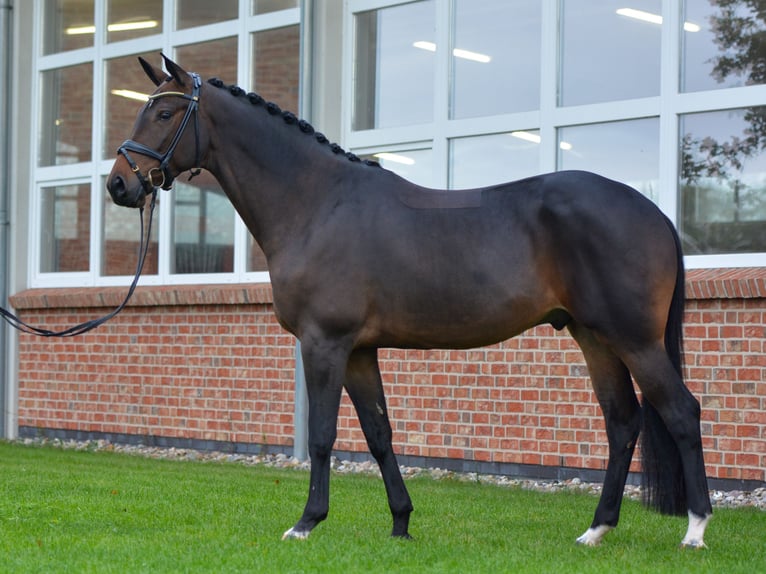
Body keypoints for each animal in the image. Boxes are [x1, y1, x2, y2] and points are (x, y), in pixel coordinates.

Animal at [106, 56, 712, 552]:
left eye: (164, 114)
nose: (119, 185)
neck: (316, 203)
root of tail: (654, 213)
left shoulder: (325, 344)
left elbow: (323, 436)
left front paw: (306, 522)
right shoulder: (359, 351)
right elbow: (379, 435)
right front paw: (401, 523)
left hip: (634, 340)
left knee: (681, 412)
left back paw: (695, 530)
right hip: (594, 337)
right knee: (623, 422)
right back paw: (596, 530)